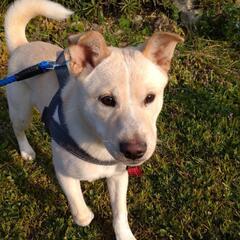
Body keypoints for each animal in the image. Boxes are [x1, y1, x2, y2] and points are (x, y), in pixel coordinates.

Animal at [3, 0, 183, 239]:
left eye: (150, 98)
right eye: (107, 100)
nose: (135, 152)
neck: (97, 142)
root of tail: (21, 46)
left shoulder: (119, 176)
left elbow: (120, 213)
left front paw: (124, 235)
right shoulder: (64, 173)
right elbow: (81, 212)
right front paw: (86, 214)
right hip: (21, 111)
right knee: (18, 130)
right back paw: (26, 151)